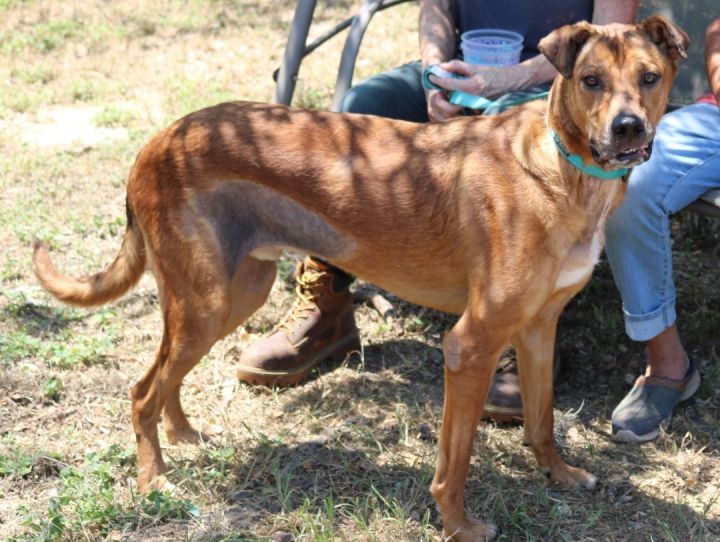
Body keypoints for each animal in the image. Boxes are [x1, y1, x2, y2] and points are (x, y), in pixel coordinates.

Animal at [33, 15, 688, 542]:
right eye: (591, 80)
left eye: (650, 78)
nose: (628, 129)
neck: (561, 167)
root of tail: (158, 139)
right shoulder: (469, 345)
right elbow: (456, 462)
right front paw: (459, 526)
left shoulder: (537, 330)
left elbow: (543, 419)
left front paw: (559, 475)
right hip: (207, 301)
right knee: (142, 389)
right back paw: (155, 480)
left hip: (233, 293)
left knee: (165, 376)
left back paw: (184, 435)